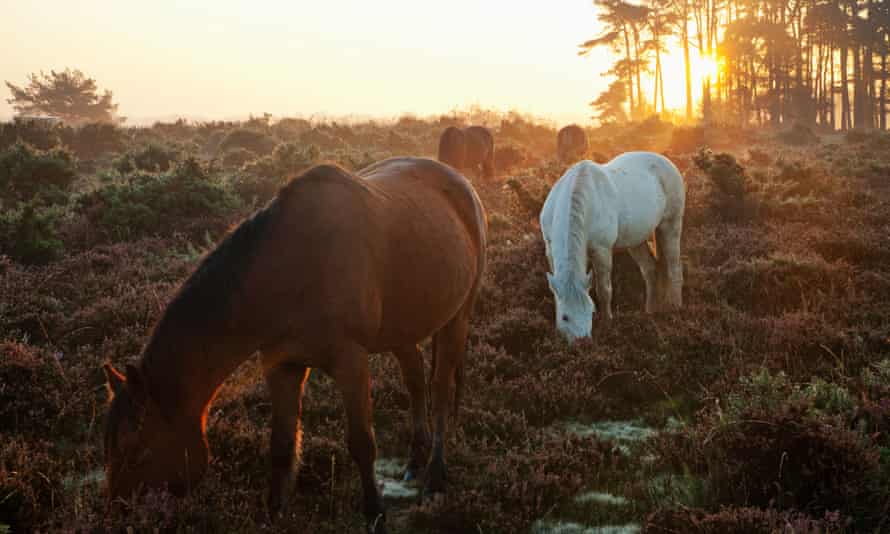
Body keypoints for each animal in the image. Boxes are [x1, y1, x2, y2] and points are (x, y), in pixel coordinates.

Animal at [106, 157, 490, 534]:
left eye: (137, 450)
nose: (119, 514)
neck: (293, 269)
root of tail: (460, 181)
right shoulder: (281, 366)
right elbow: (281, 444)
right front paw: (274, 513)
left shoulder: (350, 361)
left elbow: (362, 443)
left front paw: (374, 513)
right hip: (402, 329)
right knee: (415, 380)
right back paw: (414, 459)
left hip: (457, 318)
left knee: (439, 390)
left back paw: (435, 476)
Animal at [536, 153, 684, 342]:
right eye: (565, 317)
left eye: (591, 311)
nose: (583, 343)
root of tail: (666, 161)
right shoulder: (550, 251)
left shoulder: (602, 250)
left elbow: (604, 290)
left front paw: (607, 324)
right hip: (636, 241)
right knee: (650, 270)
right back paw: (650, 311)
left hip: (670, 225)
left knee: (674, 269)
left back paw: (676, 309)